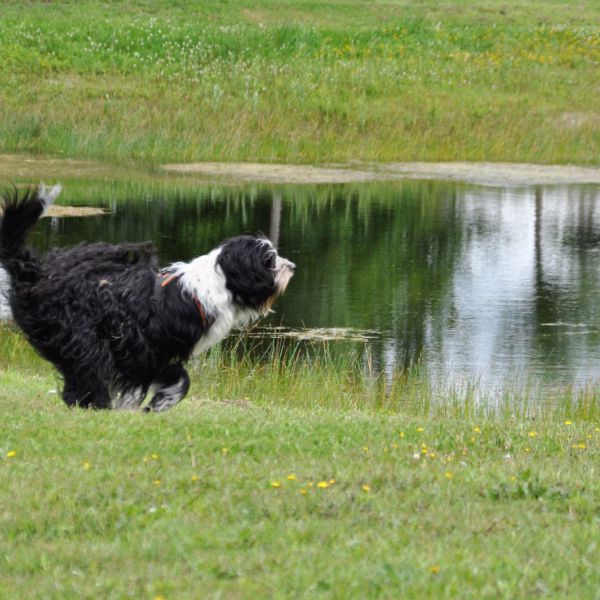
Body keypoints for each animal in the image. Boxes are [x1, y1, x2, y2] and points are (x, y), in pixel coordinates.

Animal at [0, 185, 296, 410]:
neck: (215, 284)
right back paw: (96, 403)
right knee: (90, 369)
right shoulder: (146, 349)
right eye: (269, 261)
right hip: (83, 336)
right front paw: (160, 402)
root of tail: (38, 273)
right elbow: (177, 378)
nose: (292, 266)